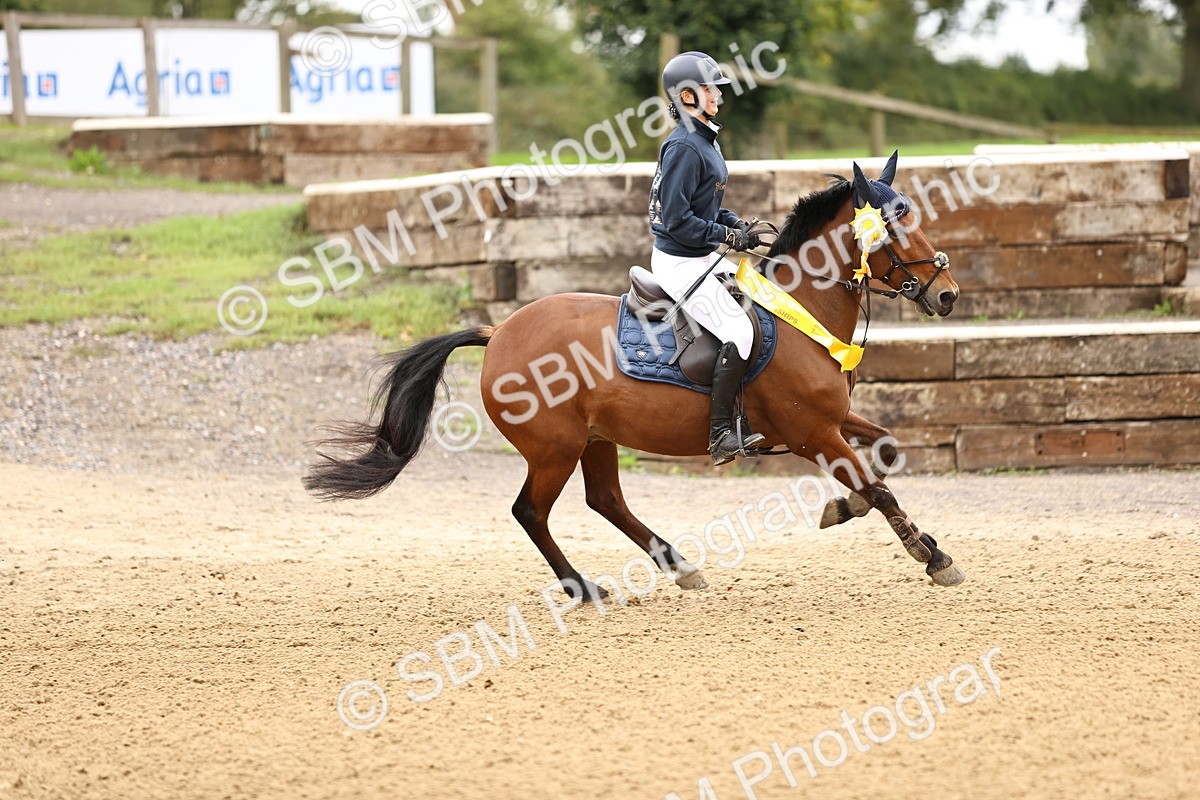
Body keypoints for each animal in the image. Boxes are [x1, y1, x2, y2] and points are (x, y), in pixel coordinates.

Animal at [304, 151, 964, 601]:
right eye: (895, 227)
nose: (948, 294)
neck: (800, 309)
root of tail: (500, 332)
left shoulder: (835, 418)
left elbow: (887, 449)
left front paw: (846, 508)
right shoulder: (811, 433)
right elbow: (879, 486)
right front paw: (929, 555)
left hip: (595, 439)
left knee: (605, 500)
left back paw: (678, 566)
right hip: (556, 447)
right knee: (531, 512)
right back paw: (581, 587)